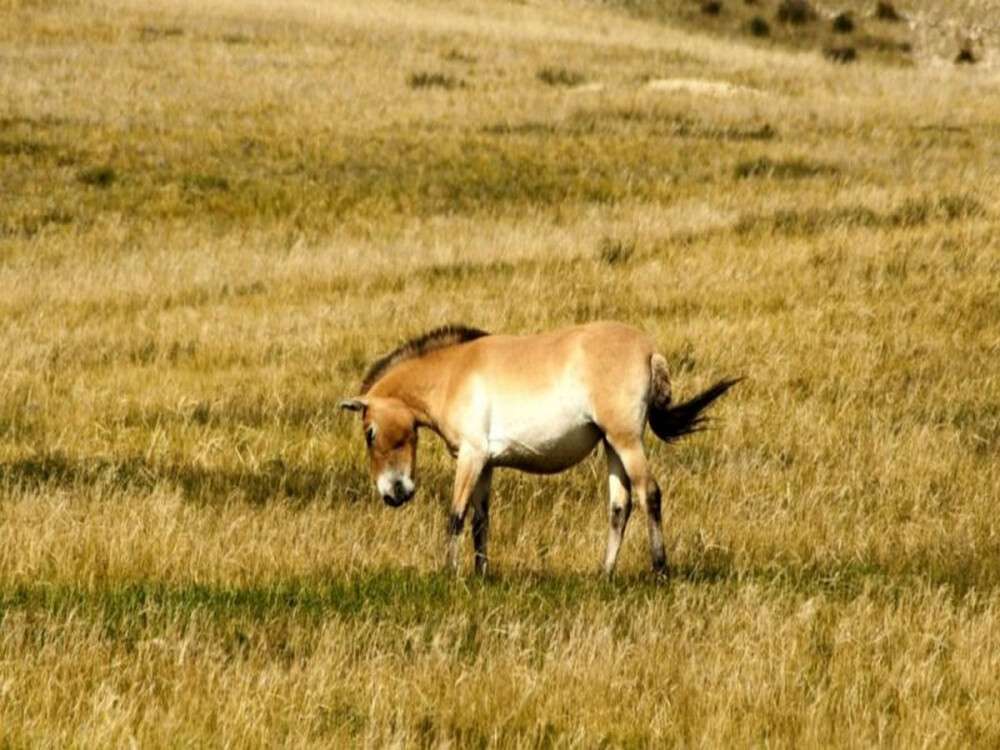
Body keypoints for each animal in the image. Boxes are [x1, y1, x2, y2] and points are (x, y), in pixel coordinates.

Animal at [340, 322, 740, 576]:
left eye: (369, 433)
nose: (393, 494)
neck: (452, 374)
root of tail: (649, 351)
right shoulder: (486, 463)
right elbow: (481, 520)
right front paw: (480, 575)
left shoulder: (470, 456)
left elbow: (455, 516)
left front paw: (448, 574)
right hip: (611, 444)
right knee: (619, 506)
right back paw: (605, 574)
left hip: (626, 441)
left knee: (649, 494)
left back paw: (660, 571)